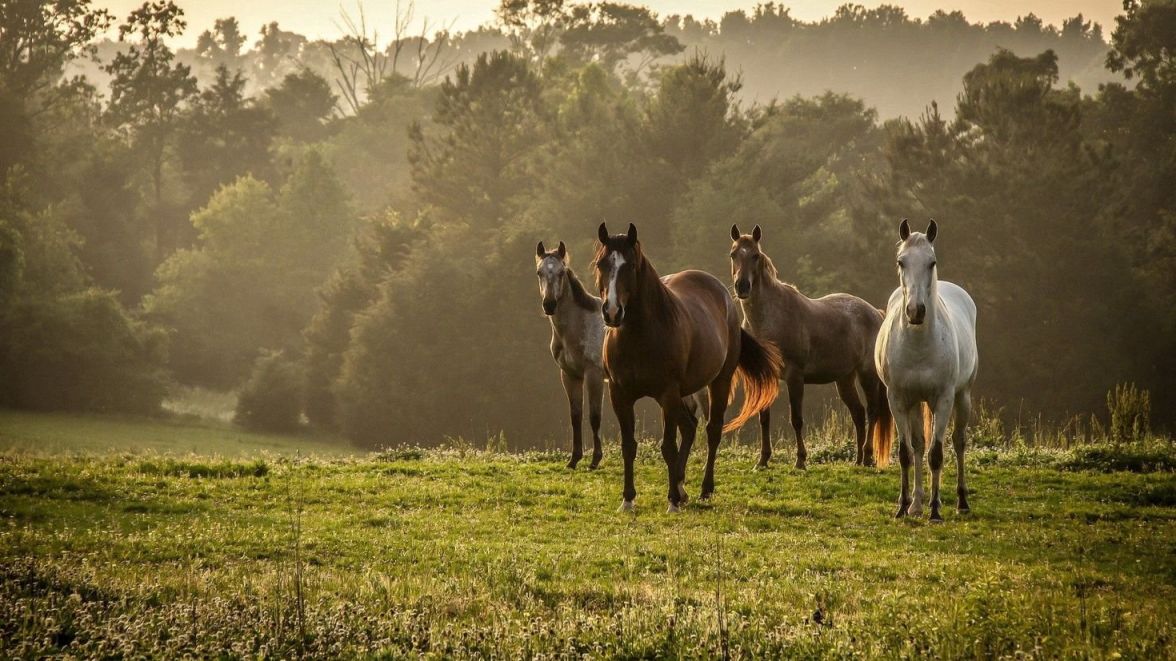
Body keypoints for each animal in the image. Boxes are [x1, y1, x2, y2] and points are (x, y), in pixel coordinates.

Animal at [536, 241, 606, 468]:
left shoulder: (594, 376)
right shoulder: (570, 375)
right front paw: (574, 459)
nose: (549, 304)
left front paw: (595, 459)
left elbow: (594, 416)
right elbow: (576, 415)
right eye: (539, 272)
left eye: (560, 272)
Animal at [597, 221, 780, 510]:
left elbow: (668, 447)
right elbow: (629, 445)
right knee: (690, 427)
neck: (639, 337)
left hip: (717, 382)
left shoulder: (667, 393)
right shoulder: (620, 395)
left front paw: (671, 499)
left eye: (631, 265)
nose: (612, 312)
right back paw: (682, 488)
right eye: (601, 264)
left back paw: (704, 489)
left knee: (711, 430)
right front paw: (628, 499)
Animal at [724, 224, 889, 468]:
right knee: (858, 414)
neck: (770, 320)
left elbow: (797, 419)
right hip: (844, 379)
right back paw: (858, 460)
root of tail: (875, 313)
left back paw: (868, 456)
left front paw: (800, 460)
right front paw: (762, 460)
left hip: (867, 374)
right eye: (733, 254)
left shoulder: (795, 376)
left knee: (872, 411)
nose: (742, 287)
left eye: (755, 255)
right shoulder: (767, 376)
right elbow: (764, 418)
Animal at [879, 217, 978, 519]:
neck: (919, 346)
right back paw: (916, 503)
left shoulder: (943, 399)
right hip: (915, 403)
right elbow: (906, 452)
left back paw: (960, 501)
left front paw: (935, 510)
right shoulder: (898, 399)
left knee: (958, 442)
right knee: (919, 445)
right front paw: (903, 506)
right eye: (901, 262)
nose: (915, 311)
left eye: (931, 262)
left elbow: (937, 454)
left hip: (962, 396)